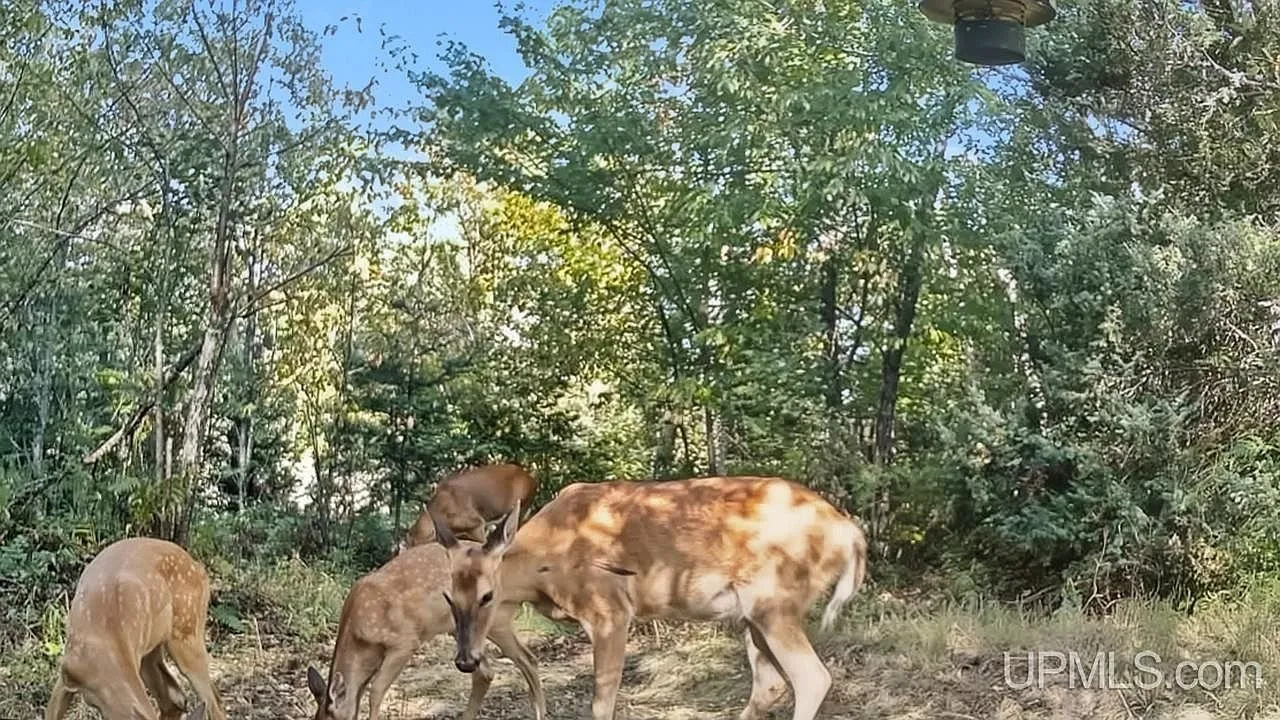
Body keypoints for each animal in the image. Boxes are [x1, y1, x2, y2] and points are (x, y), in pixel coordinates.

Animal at [45, 536, 227, 720]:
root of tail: (199, 567)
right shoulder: (67, 673)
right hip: (151, 649)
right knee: (176, 699)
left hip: (185, 633)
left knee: (212, 702)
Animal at [305, 538, 546, 720]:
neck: (361, 638)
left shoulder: (405, 641)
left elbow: (376, 690)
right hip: (462, 630)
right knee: (487, 672)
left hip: (495, 620)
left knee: (527, 658)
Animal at [429, 475, 868, 720]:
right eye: (448, 596)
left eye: (488, 595)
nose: (465, 660)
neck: (546, 563)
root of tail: (850, 533)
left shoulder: (610, 610)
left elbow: (602, 704)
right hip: (752, 614)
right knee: (770, 684)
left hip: (775, 601)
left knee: (812, 677)